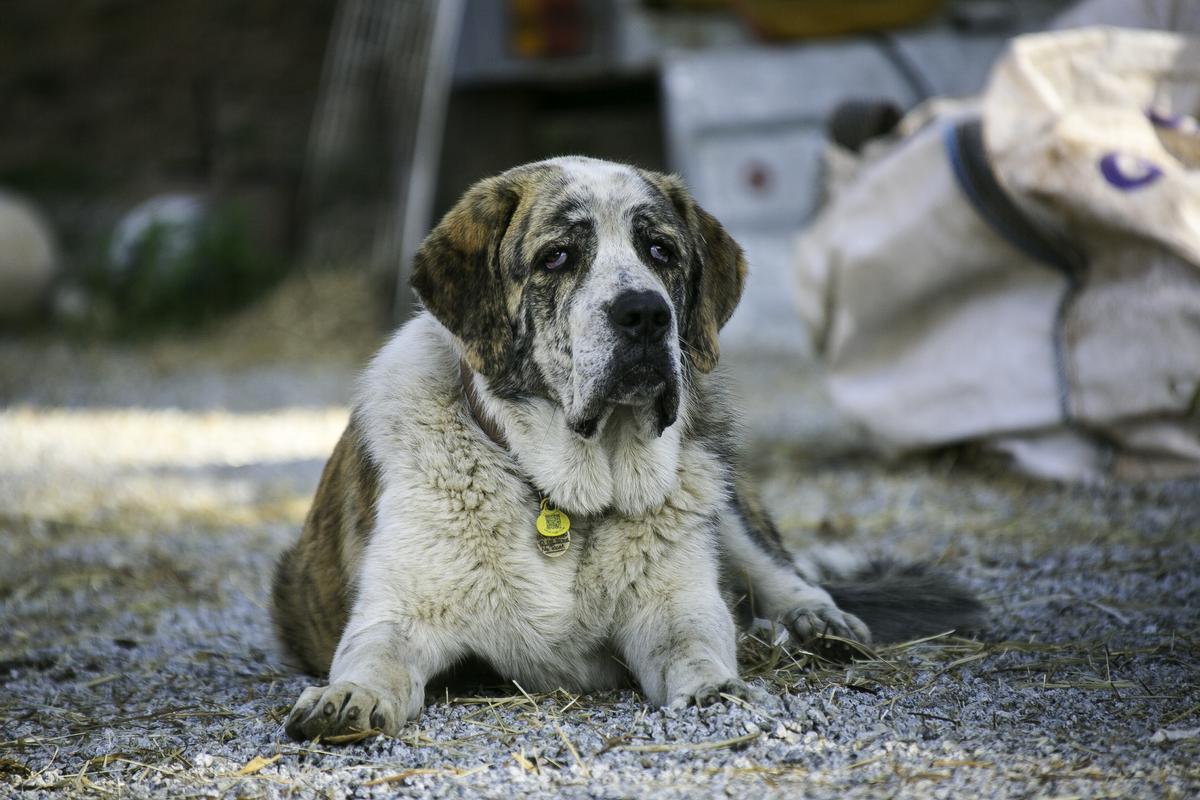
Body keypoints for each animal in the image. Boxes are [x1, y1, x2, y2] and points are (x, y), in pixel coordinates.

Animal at [267, 153, 979, 743]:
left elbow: (695, 644)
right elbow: (376, 655)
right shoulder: (398, 612)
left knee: (780, 572)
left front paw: (718, 689)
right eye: (556, 258)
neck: (565, 495)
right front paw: (347, 697)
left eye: (661, 251)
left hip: (721, 495)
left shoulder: (676, 607)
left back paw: (818, 623)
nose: (644, 313)